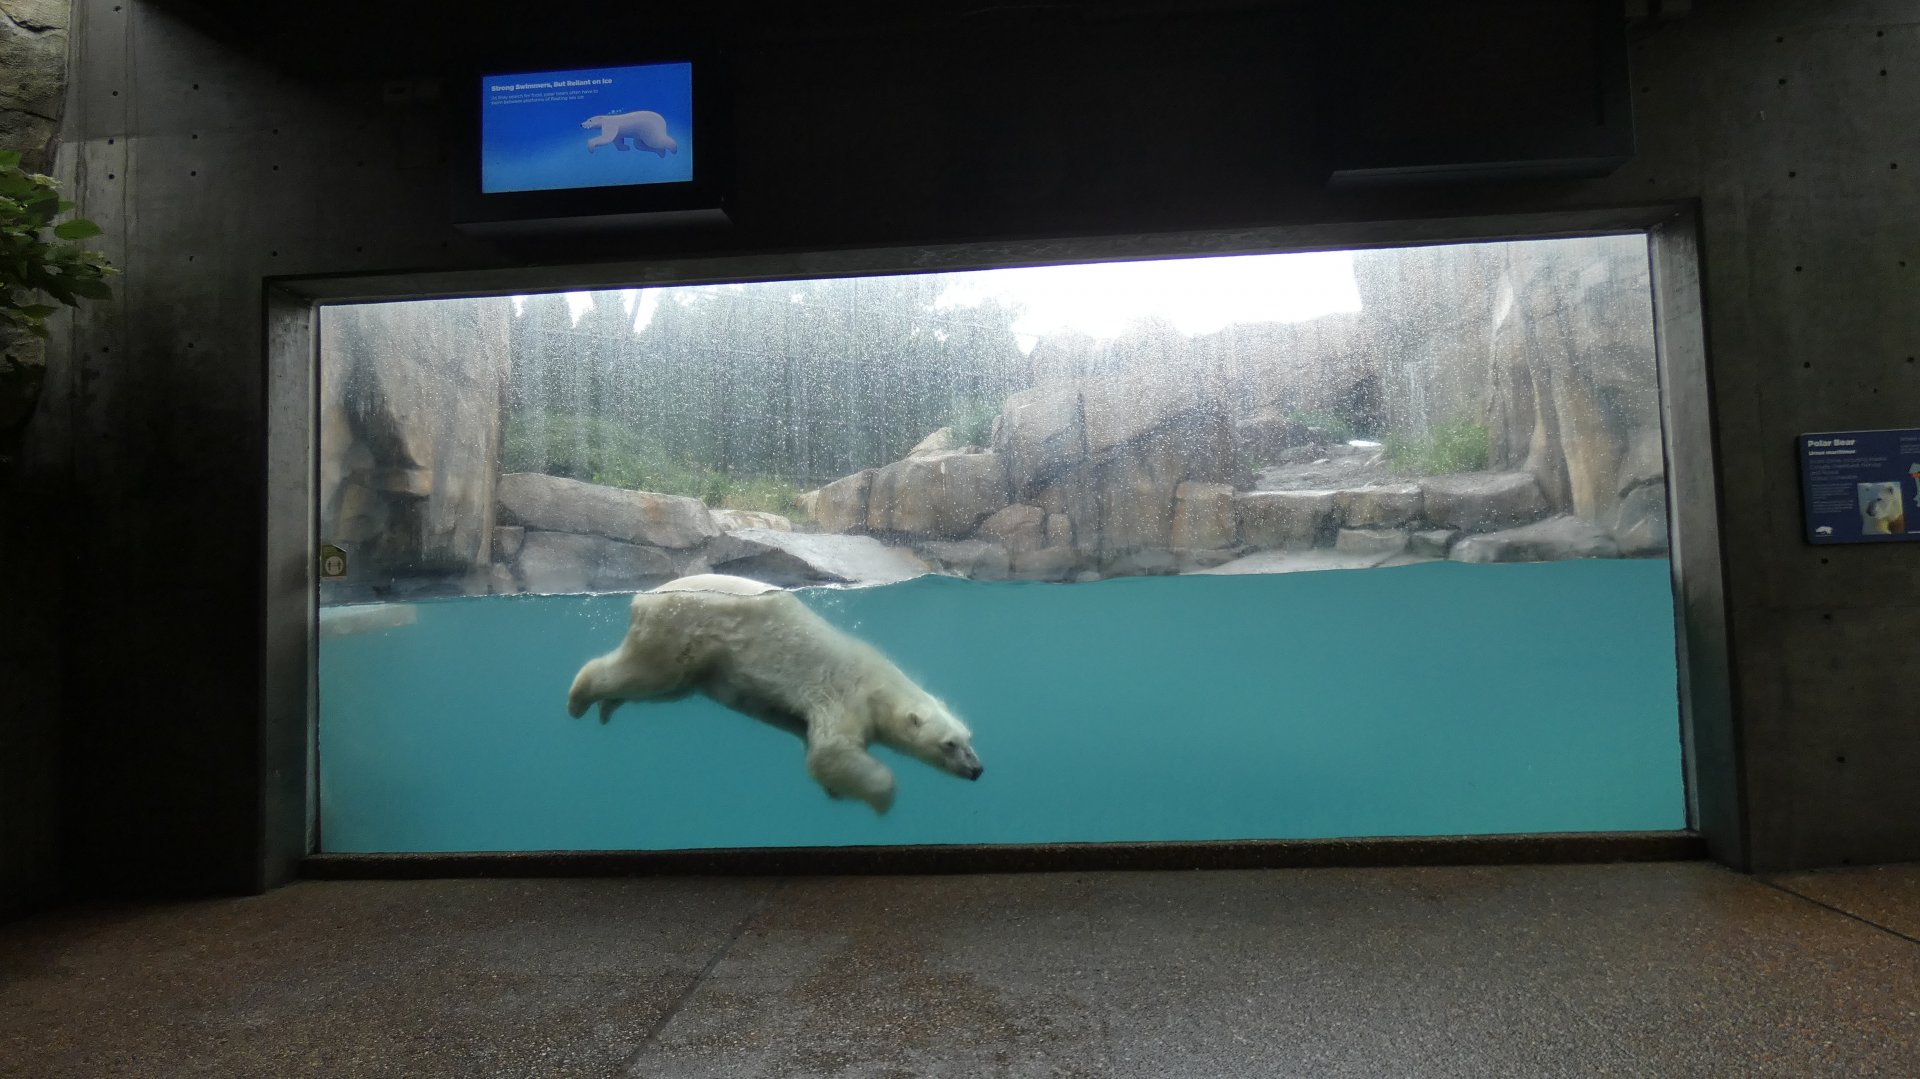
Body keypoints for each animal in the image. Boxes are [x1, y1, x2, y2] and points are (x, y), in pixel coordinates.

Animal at [566, 574, 982, 814]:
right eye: (949, 744)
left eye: (968, 738)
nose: (977, 770)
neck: (881, 685)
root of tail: (643, 598)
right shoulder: (843, 695)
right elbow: (830, 751)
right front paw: (882, 797)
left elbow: (814, 744)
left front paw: (835, 789)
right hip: (682, 629)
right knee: (646, 675)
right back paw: (579, 697)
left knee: (662, 688)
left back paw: (607, 706)